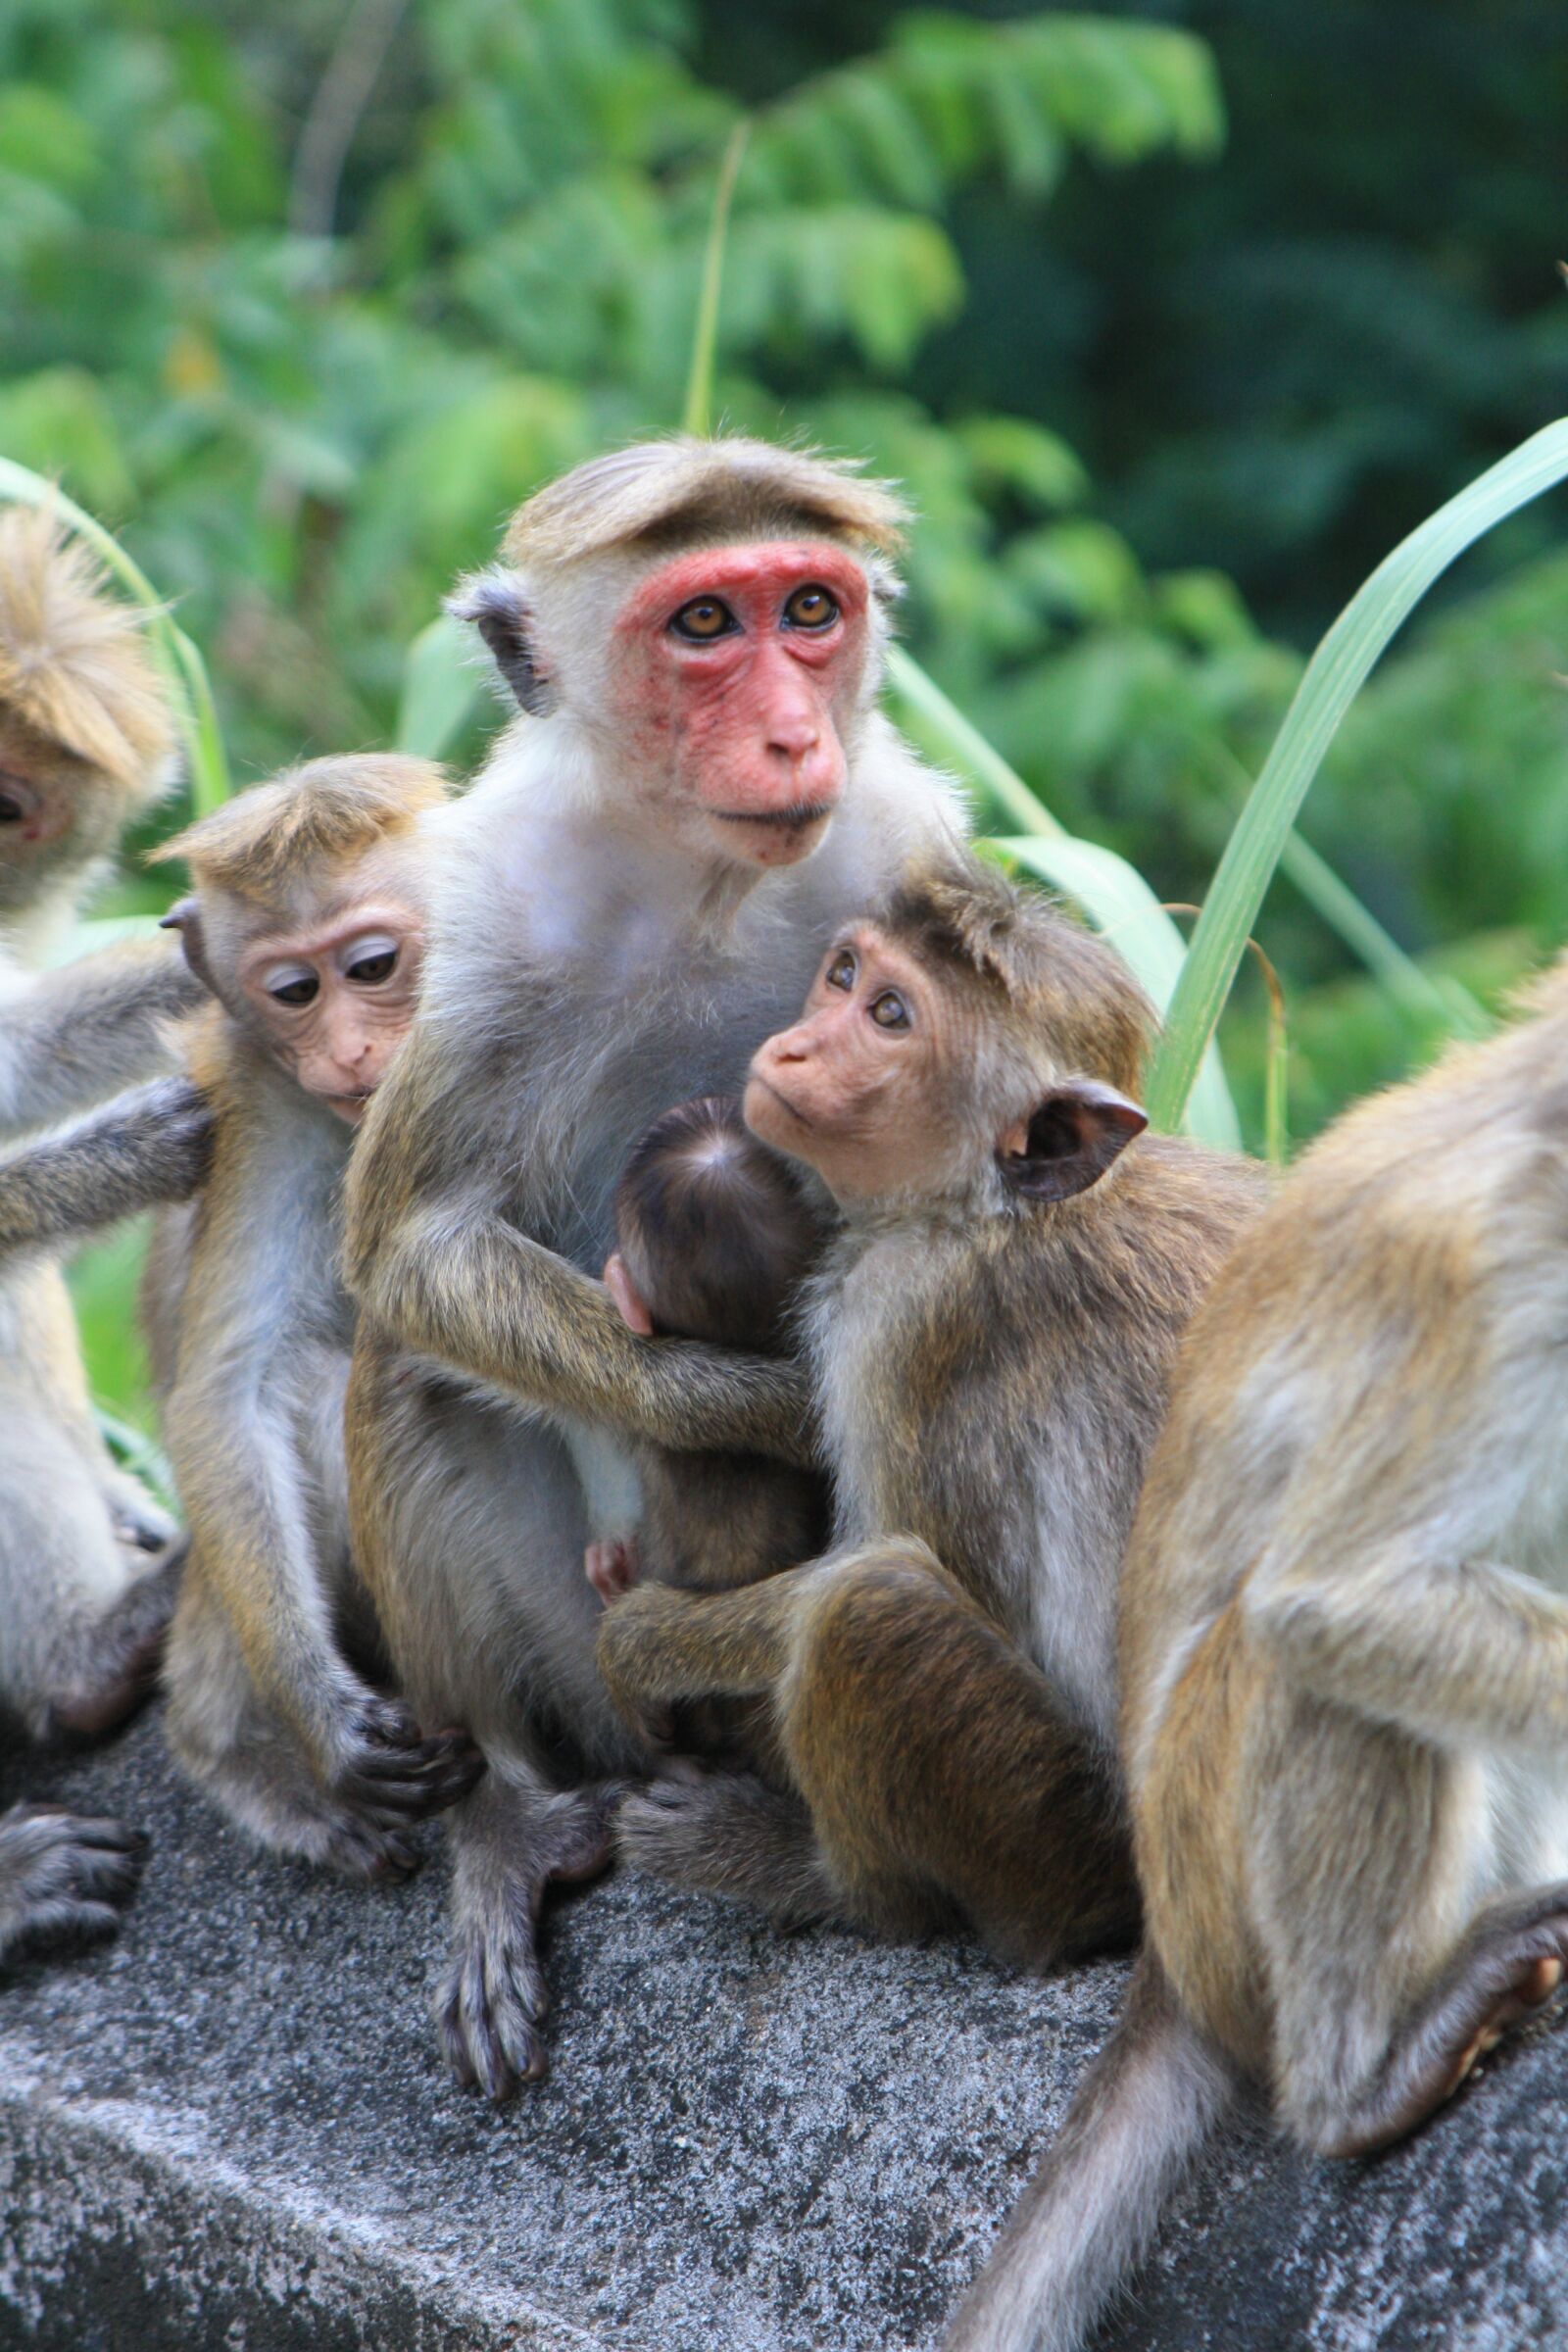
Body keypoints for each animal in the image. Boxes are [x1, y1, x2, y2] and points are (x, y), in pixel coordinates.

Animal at [341, 434, 970, 2096]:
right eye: (702, 627)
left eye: (807, 609)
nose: (790, 730)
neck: (701, 874)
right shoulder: (487, 899)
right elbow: (412, 1244)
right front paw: (741, 1404)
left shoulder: (906, 841)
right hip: (599, 1676)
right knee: (412, 1374)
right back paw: (508, 1817)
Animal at [596, 853, 1268, 1981]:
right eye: (843, 974)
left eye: (890, 1016)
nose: (792, 1046)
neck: (986, 1208)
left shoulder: (894, 1326)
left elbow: (868, 1560)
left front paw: (648, 1638)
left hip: (1056, 1837)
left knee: (871, 1614)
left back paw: (826, 1883)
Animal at [942, 957, 1568, 2352]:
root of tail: (1168, 1958)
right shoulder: (1501, 1289)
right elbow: (1336, 1597)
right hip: (1214, 1871)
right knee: (1303, 1661)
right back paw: (1356, 2081)